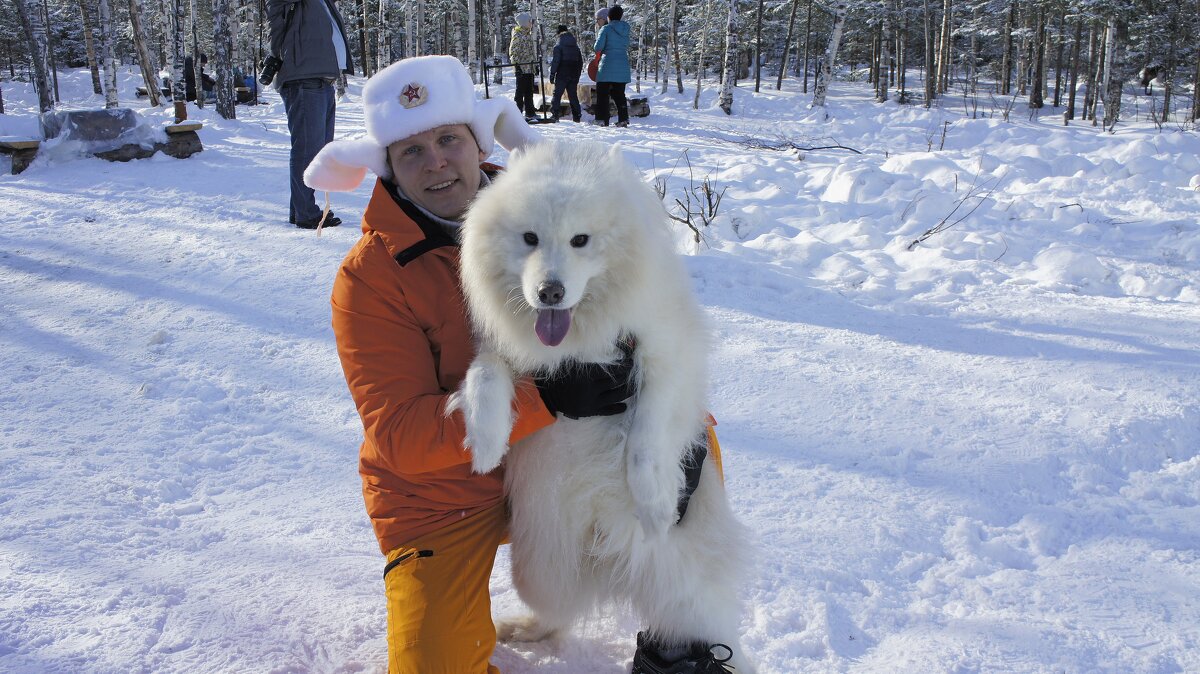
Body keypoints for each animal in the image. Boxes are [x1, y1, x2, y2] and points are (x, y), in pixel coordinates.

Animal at [448, 139, 748, 666]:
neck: (578, 344)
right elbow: (484, 376)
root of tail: (609, 552)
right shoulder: (505, 352)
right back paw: (520, 629)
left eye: (580, 240)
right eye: (530, 238)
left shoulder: (664, 355)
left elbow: (646, 440)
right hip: (537, 567)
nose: (549, 292)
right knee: (556, 613)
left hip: (688, 597)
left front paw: (655, 506)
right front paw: (485, 444)